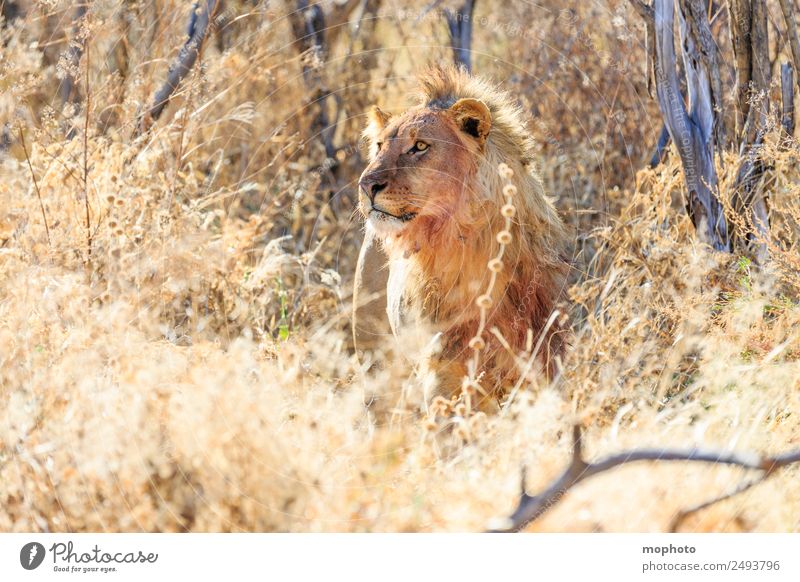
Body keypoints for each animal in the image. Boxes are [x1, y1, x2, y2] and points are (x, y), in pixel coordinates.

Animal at [352, 64, 568, 404]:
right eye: (379, 147)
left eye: (420, 146)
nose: (366, 184)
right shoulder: (442, 367)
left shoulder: (544, 354)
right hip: (375, 361)